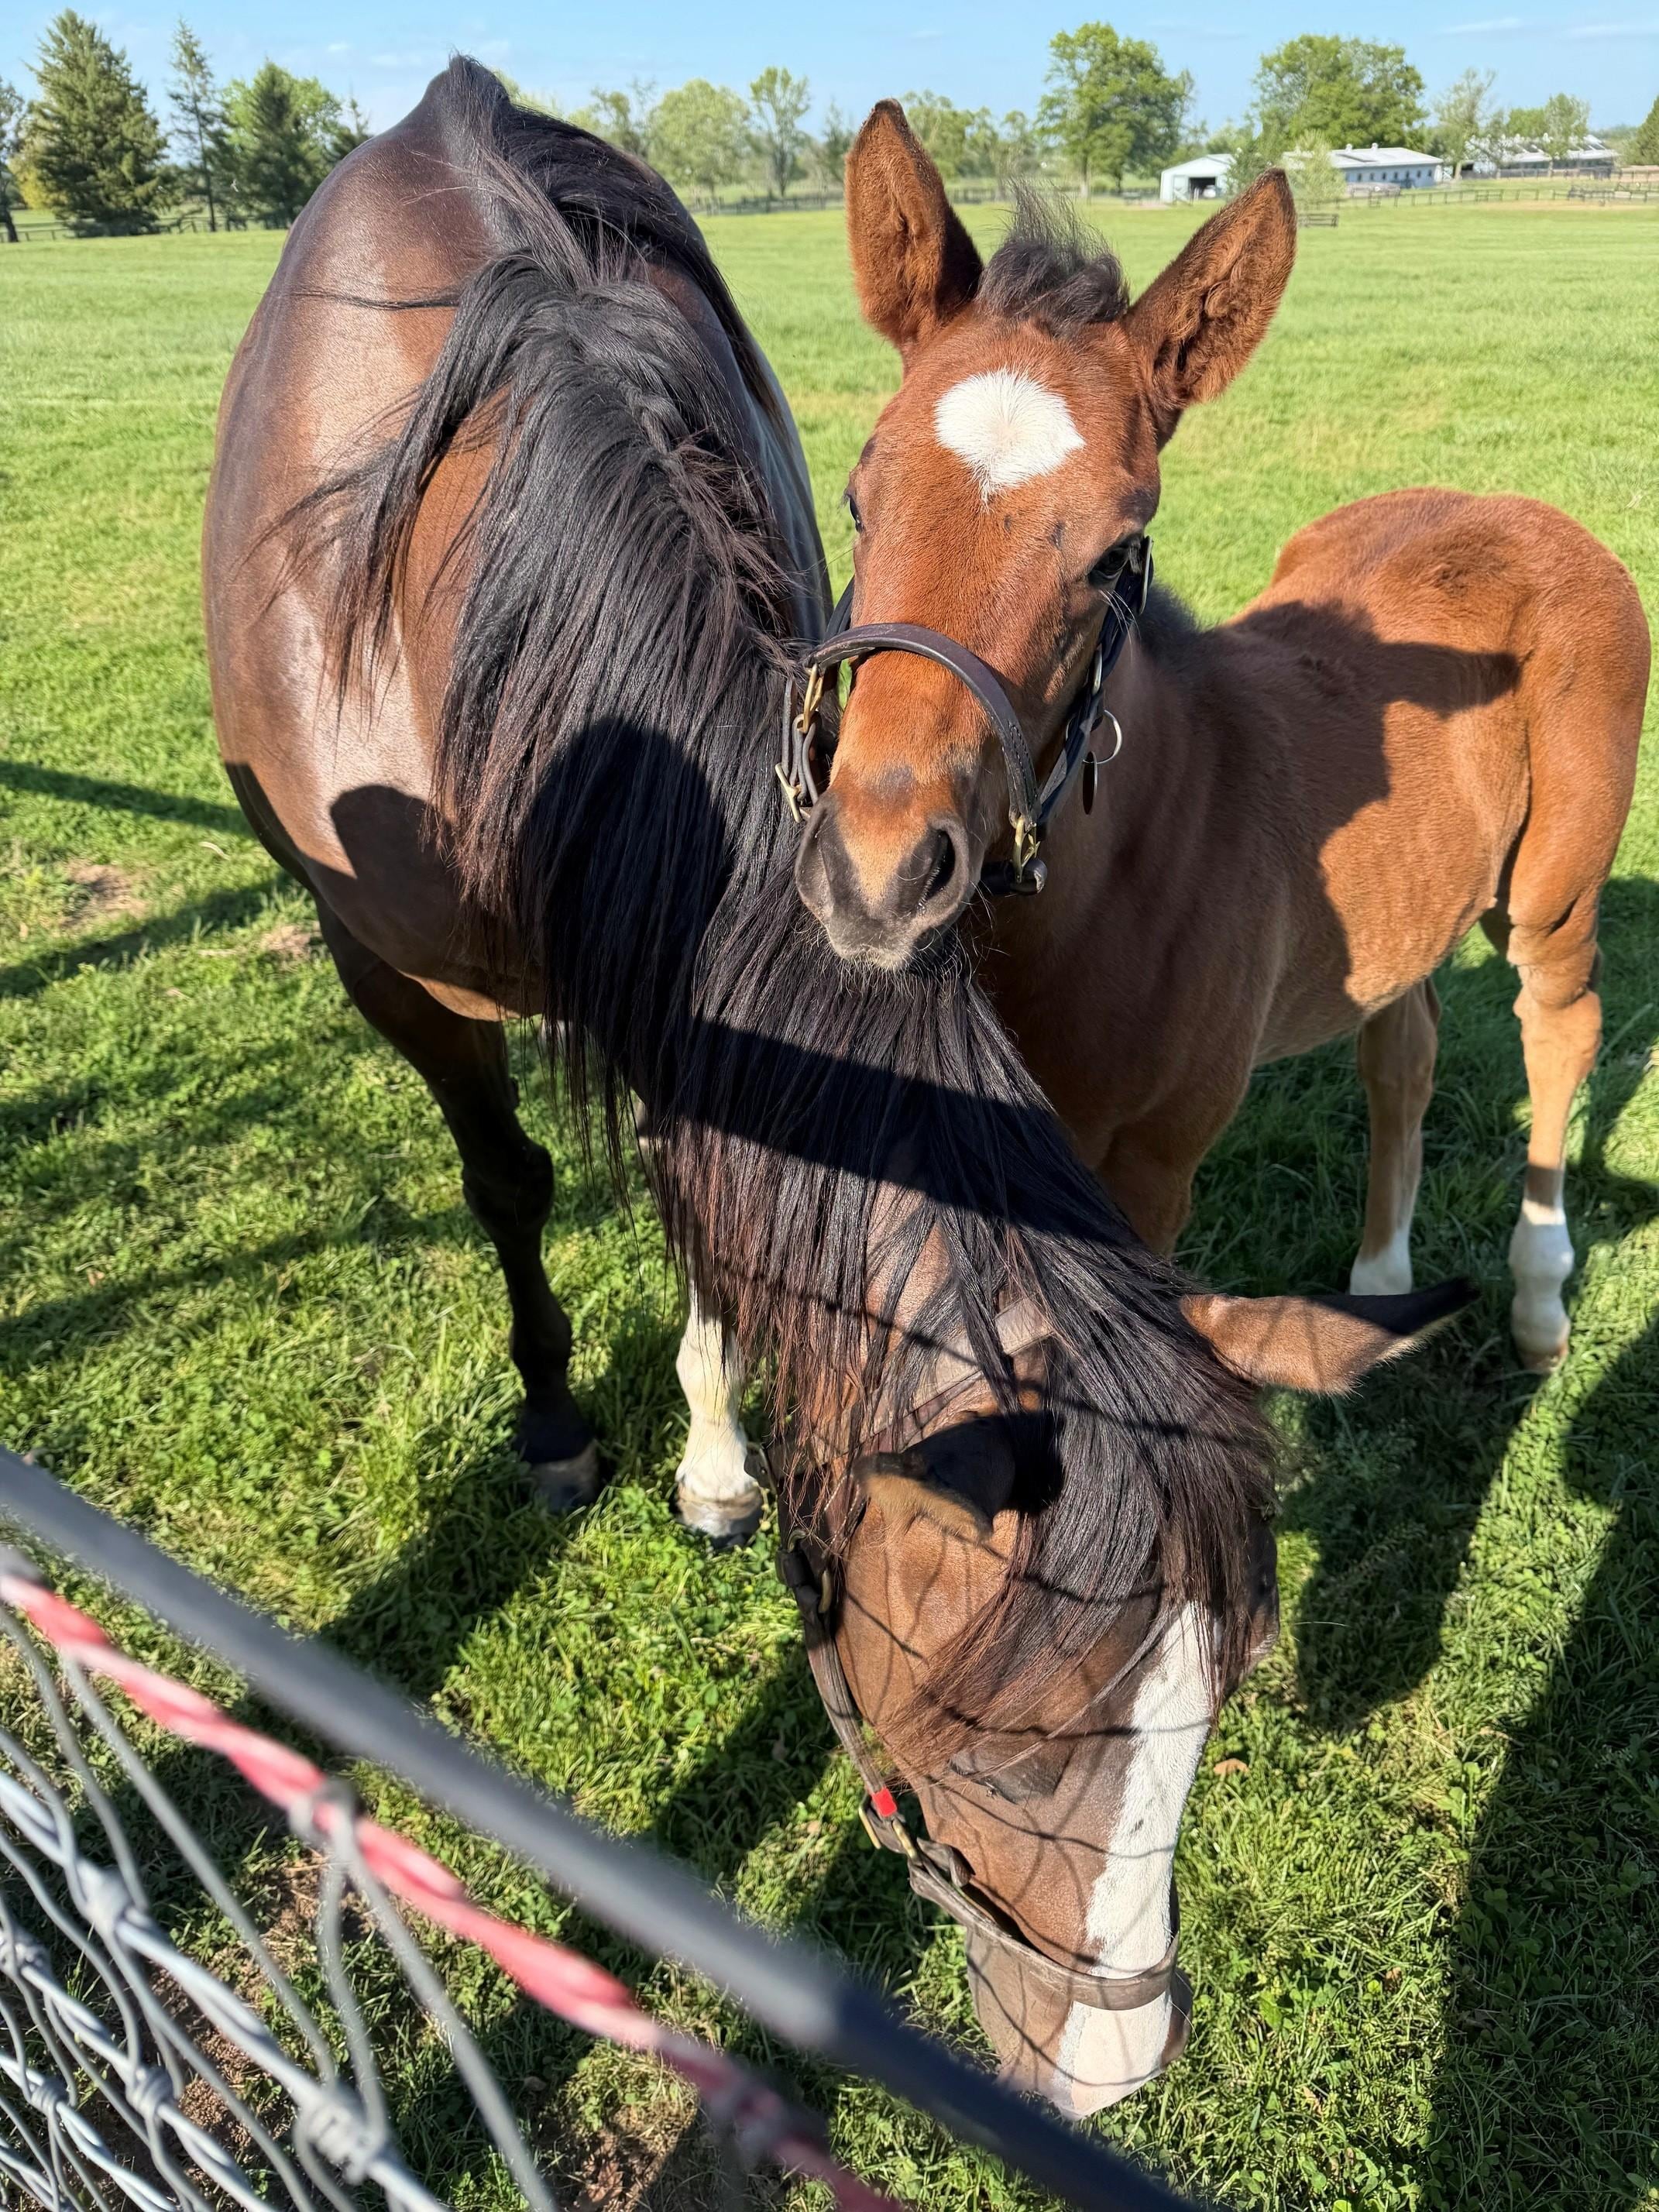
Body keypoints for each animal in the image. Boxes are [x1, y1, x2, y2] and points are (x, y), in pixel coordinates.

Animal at [202, 61, 1461, 2113]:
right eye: (1001, 1733)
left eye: (1121, 558)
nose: (1110, 2074)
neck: (495, 606)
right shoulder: (401, 977)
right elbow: (515, 1184)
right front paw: (573, 1424)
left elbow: (713, 1205)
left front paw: (724, 1455)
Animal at [788, 103, 1648, 1372]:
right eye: (859, 498)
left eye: (1115, 552)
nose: (876, 873)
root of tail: (1522, 510)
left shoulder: (1148, 1174)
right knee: (1404, 1044)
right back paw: (1379, 1289)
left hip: (1553, 893)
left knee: (1557, 1021)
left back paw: (1538, 1302)